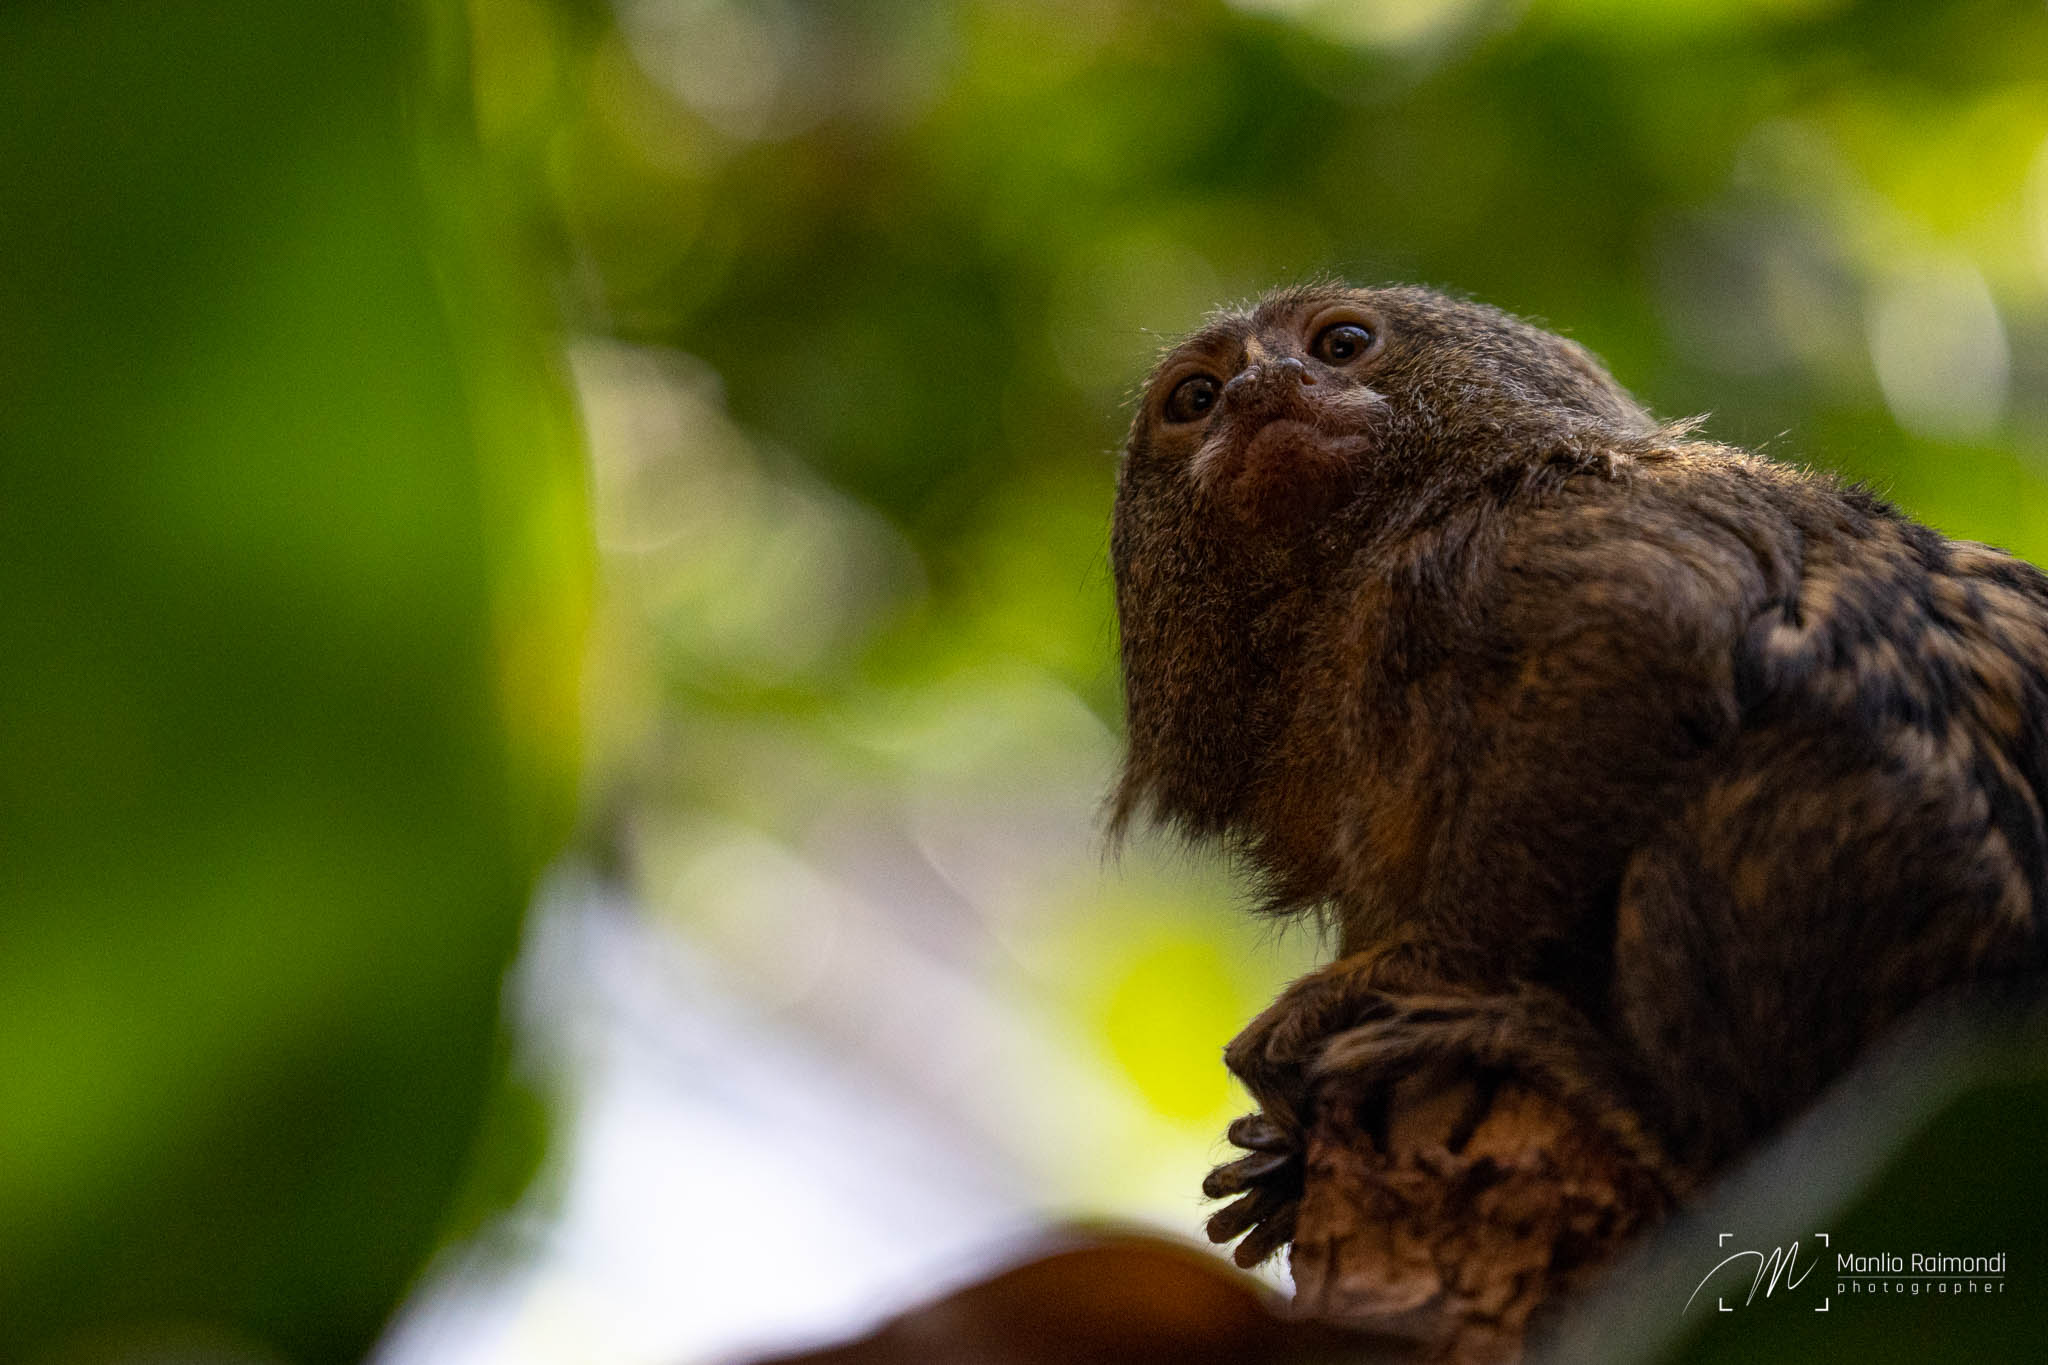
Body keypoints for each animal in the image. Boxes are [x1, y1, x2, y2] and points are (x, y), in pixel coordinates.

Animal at [1109, 283, 2048, 1270]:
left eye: (1341, 344)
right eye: (1197, 399)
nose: (1262, 389)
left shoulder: (1514, 531)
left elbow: (1650, 624)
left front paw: (1411, 971)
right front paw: (1282, 1172)